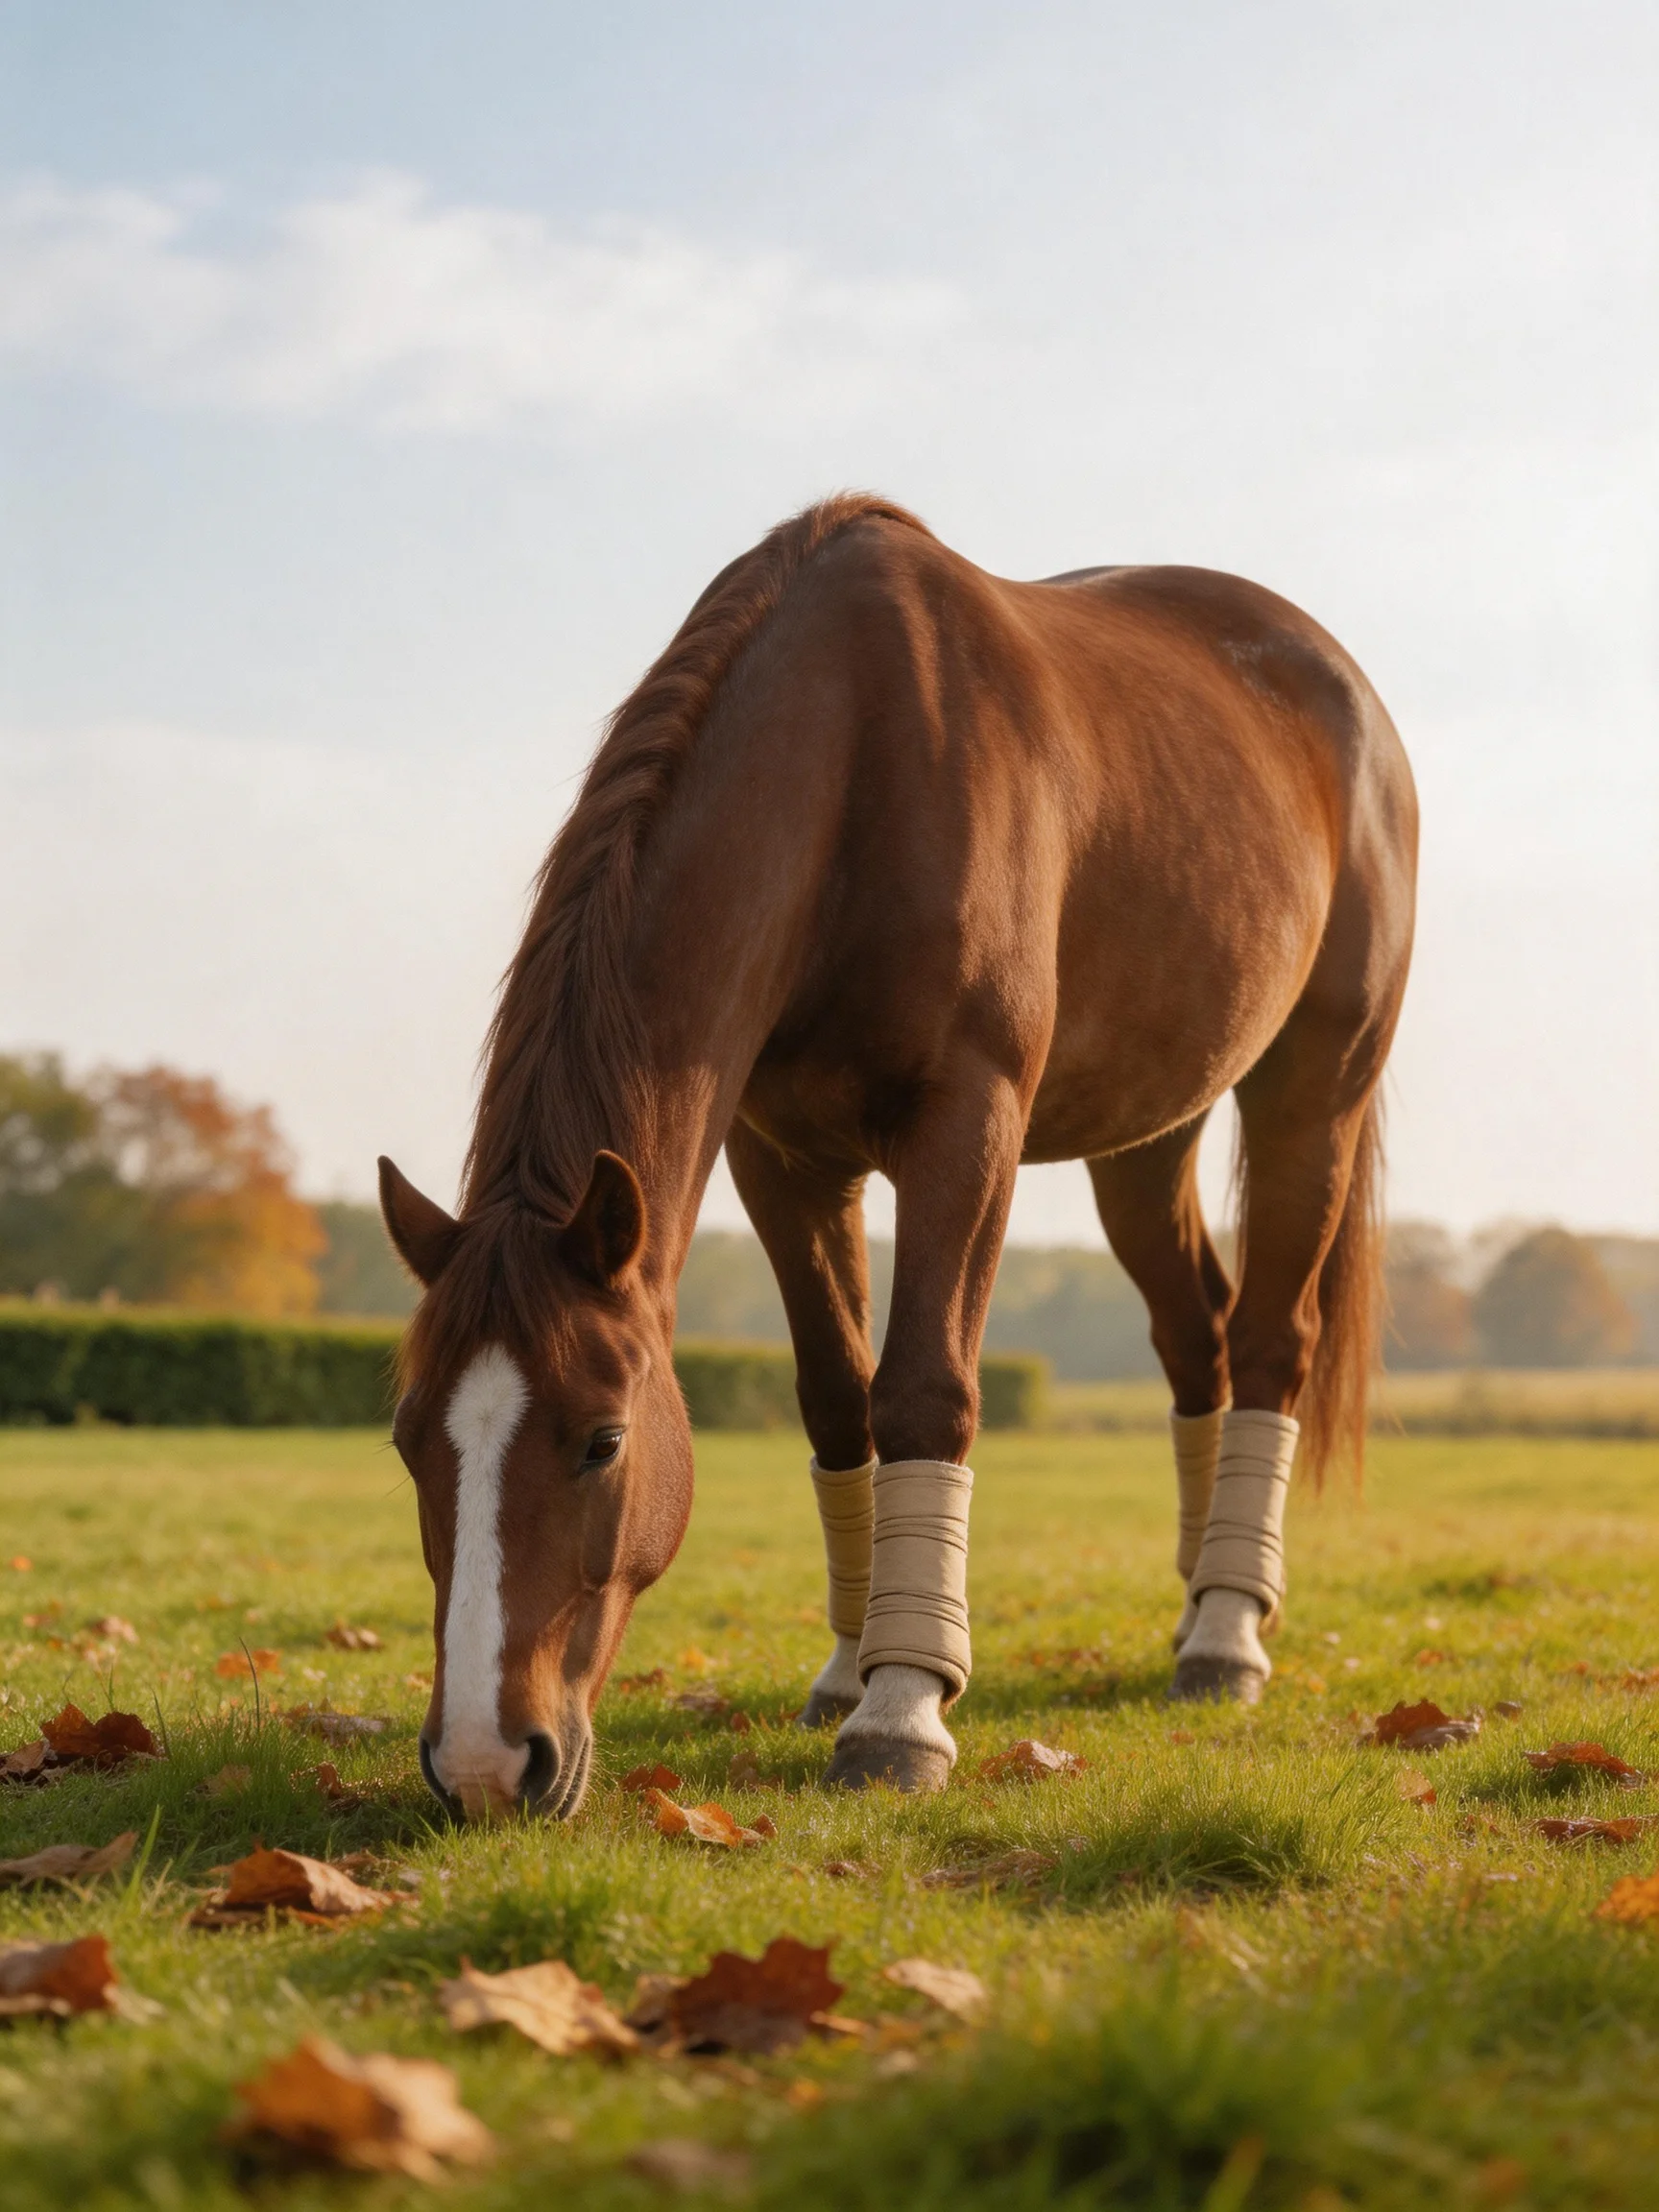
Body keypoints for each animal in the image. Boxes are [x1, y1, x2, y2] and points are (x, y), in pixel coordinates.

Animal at [378, 492, 1417, 1821]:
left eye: (602, 1439)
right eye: (410, 1438)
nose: (484, 1766)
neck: (857, 763)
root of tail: (1343, 691)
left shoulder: (966, 1122)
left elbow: (923, 1390)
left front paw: (903, 1710)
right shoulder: (782, 1157)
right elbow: (837, 1398)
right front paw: (846, 1669)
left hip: (1313, 1091)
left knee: (1275, 1342)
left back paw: (1230, 1635)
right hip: (1147, 1138)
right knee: (1202, 1342)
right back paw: (1200, 1612)